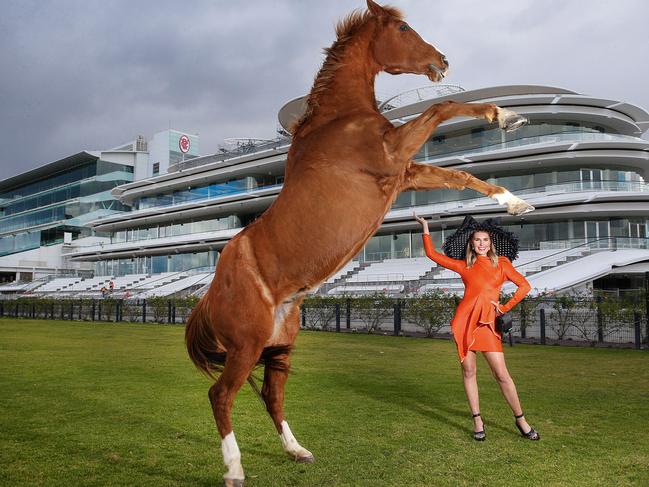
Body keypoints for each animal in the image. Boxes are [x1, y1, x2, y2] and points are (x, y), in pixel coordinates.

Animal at [186, 1, 532, 486]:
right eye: (403, 27)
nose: (441, 61)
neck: (337, 121)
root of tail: (210, 293)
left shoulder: (405, 172)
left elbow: (461, 175)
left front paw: (514, 197)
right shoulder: (393, 155)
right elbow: (442, 106)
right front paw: (504, 116)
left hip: (278, 347)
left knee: (271, 395)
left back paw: (297, 451)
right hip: (245, 347)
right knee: (220, 395)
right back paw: (234, 469)